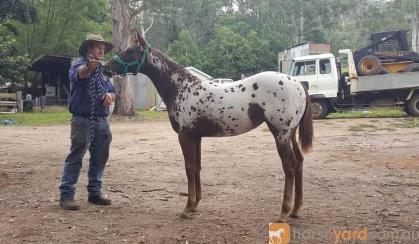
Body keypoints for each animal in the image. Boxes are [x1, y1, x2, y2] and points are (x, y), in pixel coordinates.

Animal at [106, 33, 314, 222]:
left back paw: (283, 212)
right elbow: (197, 167)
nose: (106, 68)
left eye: (131, 51)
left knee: (290, 166)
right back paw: (296, 210)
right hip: (290, 134)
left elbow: (189, 168)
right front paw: (195, 204)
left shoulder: (185, 136)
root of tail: (299, 84)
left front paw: (187, 207)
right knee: (299, 162)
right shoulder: (196, 137)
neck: (182, 89)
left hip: (280, 134)